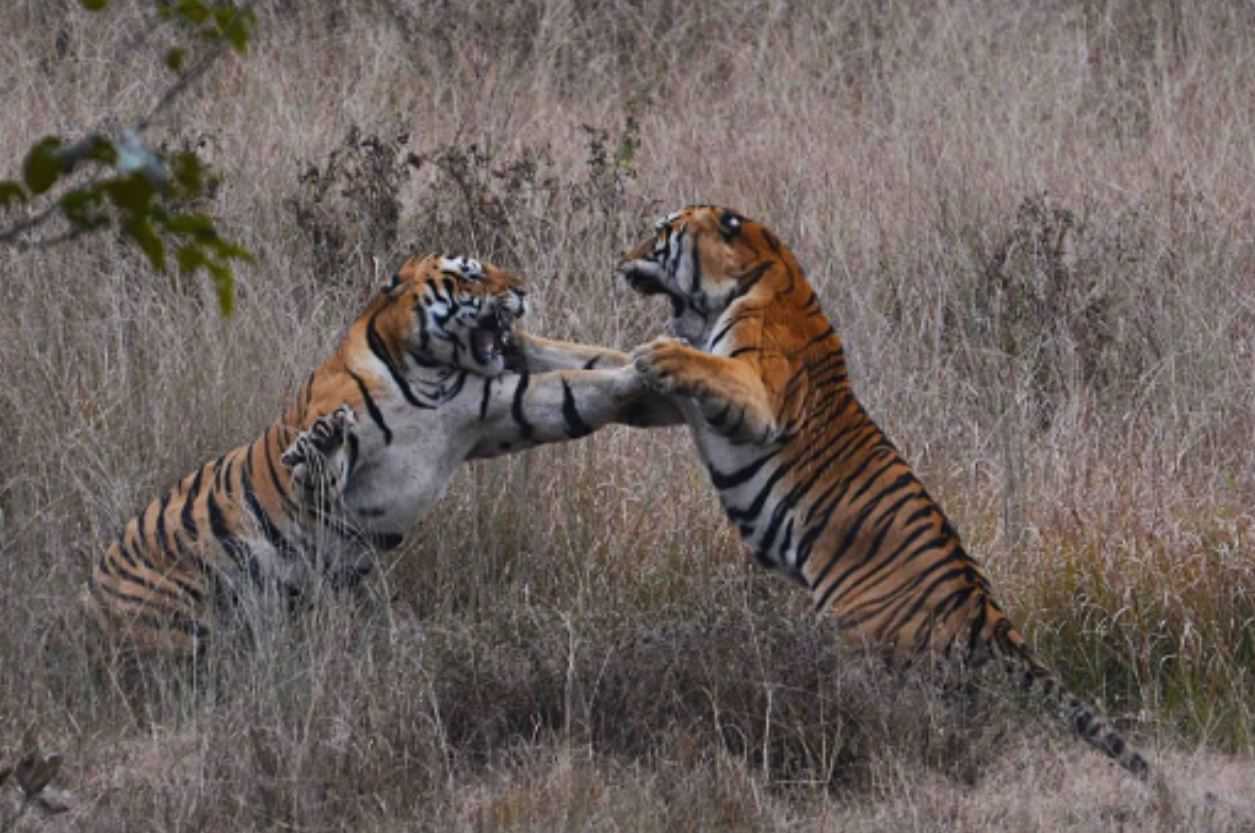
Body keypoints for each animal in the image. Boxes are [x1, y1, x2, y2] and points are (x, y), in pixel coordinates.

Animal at [85, 253, 673, 657]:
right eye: (471, 274)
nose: (523, 291)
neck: (430, 373)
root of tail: (91, 593)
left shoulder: (499, 408)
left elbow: (577, 388)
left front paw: (651, 368)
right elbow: (317, 470)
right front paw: (325, 444)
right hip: (175, 628)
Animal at [617, 205, 1151, 780]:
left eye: (659, 234)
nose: (620, 260)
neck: (762, 267)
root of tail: (988, 614)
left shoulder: (759, 396)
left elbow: (708, 367)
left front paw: (658, 355)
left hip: (867, 647)